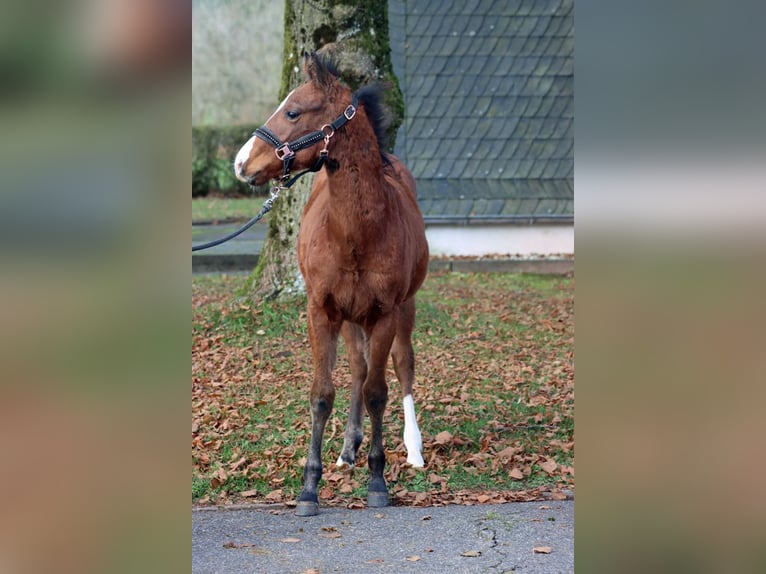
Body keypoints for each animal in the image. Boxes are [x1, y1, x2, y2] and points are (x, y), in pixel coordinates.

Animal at [234, 52, 429, 516]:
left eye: (292, 111)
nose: (240, 163)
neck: (356, 232)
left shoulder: (385, 313)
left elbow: (378, 392)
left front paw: (378, 481)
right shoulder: (321, 311)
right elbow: (323, 394)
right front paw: (309, 488)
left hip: (402, 309)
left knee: (402, 365)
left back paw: (413, 449)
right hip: (351, 317)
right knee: (357, 367)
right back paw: (347, 449)